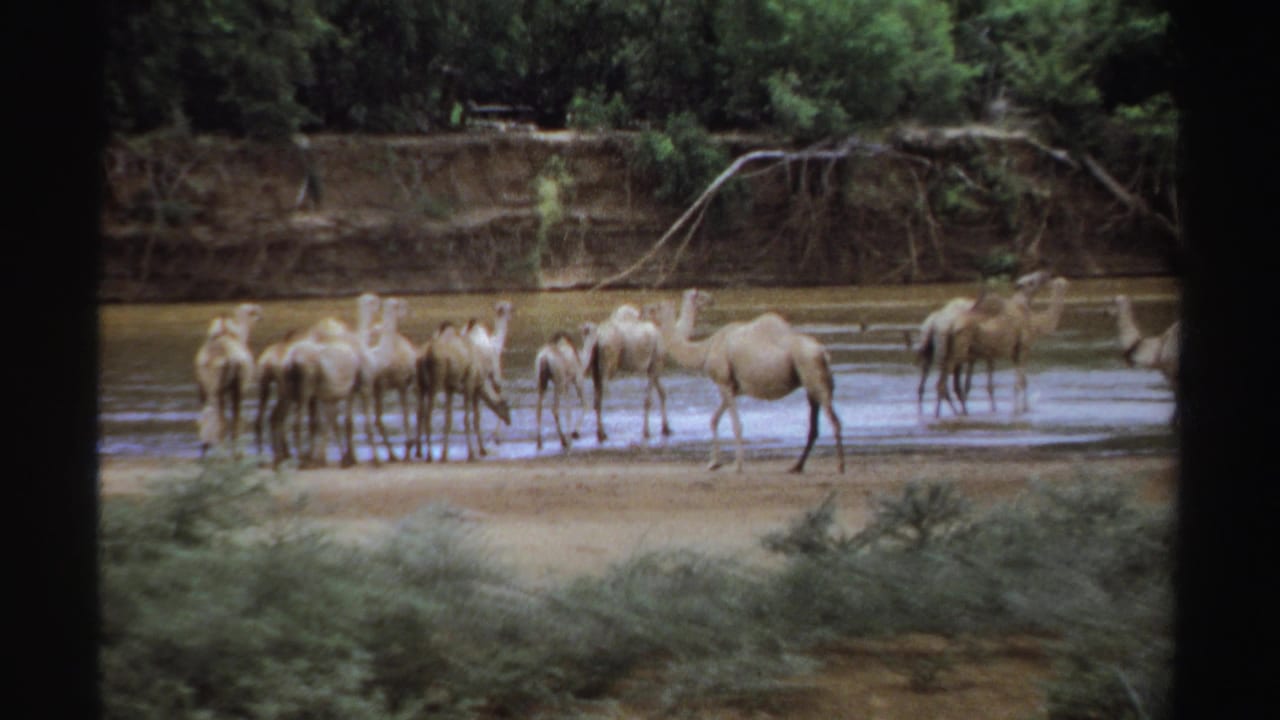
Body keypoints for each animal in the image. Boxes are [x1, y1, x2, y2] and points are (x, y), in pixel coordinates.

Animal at [415, 322, 512, 462]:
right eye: (506, 407)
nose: (509, 421)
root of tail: (425, 355)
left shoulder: (451, 389)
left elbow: (449, 419)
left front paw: (444, 454)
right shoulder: (469, 387)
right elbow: (471, 419)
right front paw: (475, 452)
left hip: (422, 385)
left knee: (419, 413)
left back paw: (419, 452)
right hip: (435, 383)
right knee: (427, 414)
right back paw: (429, 455)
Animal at [581, 302, 672, 443]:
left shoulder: (652, 366)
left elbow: (662, 393)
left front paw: (666, 429)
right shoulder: (655, 363)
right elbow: (648, 400)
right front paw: (646, 432)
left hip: (596, 367)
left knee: (596, 399)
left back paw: (600, 434)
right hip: (607, 365)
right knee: (600, 397)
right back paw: (602, 433)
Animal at [650, 288, 845, 474]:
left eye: (657, 307)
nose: (646, 311)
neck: (705, 349)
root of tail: (823, 353)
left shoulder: (723, 383)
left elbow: (736, 425)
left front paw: (737, 466)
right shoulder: (733, 387)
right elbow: (714, 420)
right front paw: (714, 463)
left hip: (813, 374)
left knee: (834, 421)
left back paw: (839, 466)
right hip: (812, 383)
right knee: (815, 427)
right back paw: (796, 467)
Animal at [934, 270, 1052, 417]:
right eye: (1031, 281)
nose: (1045, 274)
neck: (1024, 305)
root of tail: (949, 326)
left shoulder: (1003, 354)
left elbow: (1001, 384)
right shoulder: (1022, 348)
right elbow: (1021, 382)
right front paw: (1022, 409)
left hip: (948, 353)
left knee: (943, 383)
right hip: (958, 354)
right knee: (943, 384)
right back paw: (951, 413)